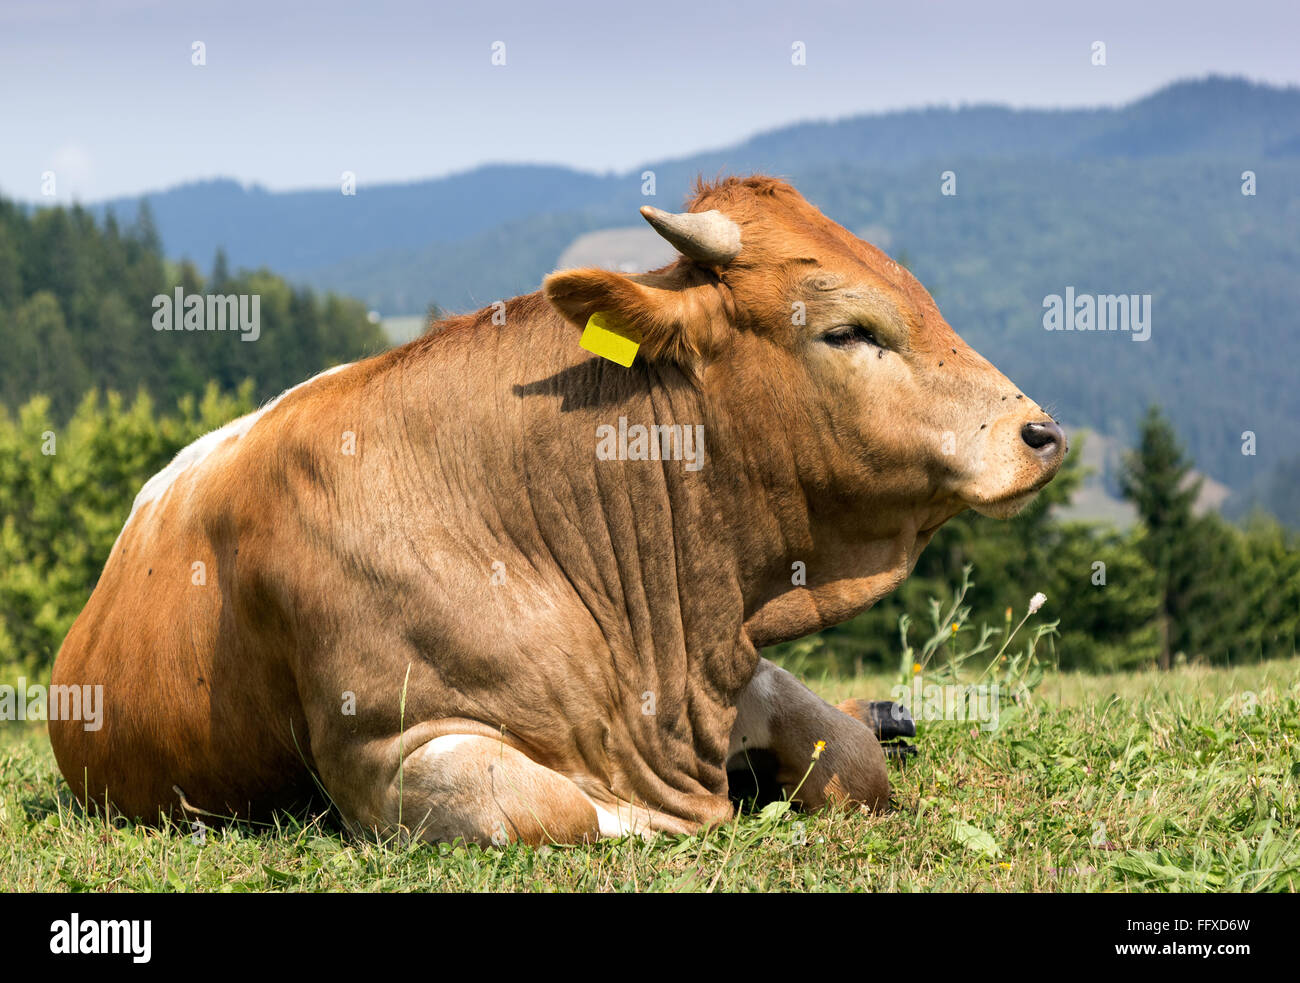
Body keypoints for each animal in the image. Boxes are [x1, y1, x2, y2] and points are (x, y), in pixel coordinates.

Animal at [50, 174, 1066, 842]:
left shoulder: (717, 669)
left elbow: (852, 756)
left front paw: (858, 733)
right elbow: (567, 810)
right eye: (849, 328)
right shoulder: (391, 753)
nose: (1040, 432)